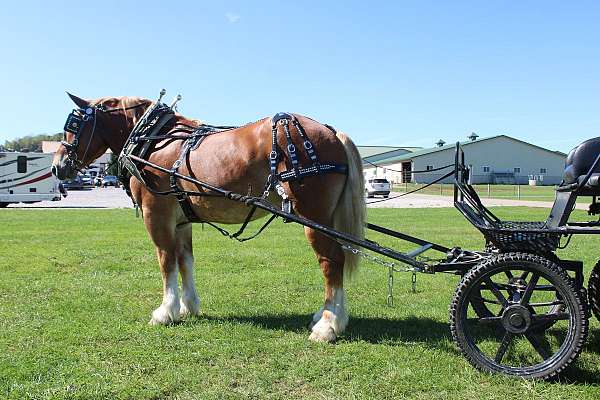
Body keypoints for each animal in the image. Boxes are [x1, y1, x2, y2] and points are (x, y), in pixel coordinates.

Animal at [54, 93, 366, 340]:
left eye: (72, 126)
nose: (58, 166)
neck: (153, 142)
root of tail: (331, 132)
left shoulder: (157, 215)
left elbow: (166, 261)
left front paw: (165, 311)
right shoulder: (181, 220)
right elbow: (185, 261)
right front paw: (188, 306)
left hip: (315, 219)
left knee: (331, 262)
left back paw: (328, 325)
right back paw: (326, 315)